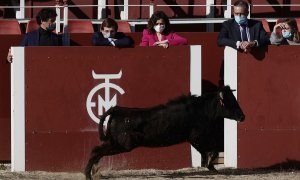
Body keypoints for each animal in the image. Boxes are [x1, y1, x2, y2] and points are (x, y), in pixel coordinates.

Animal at [85, 86, 245, 179]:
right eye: (230, 102)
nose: (242, 116)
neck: (201, 109)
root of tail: (117, 109)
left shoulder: (197, 138)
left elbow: (213, 148)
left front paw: (211, 165)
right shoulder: (196, 137)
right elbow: (213, 148)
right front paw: (211, 164)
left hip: (115, 142)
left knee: (96, 151)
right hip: (122, 145)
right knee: (95, 151)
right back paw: (88, 174)